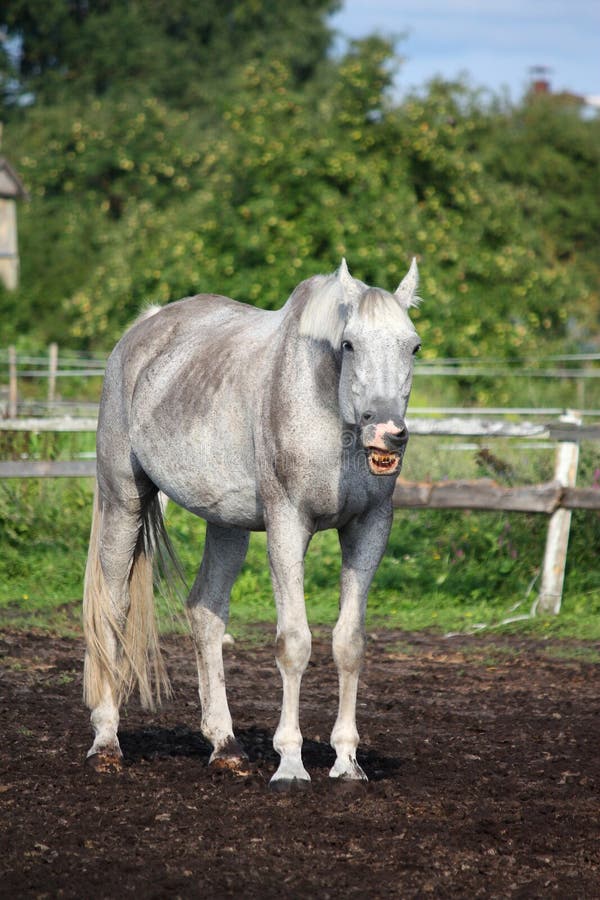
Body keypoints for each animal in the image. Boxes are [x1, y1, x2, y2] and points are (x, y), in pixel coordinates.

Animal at [83, 256, 422, 784]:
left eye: (414, 346)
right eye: (349, 343)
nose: (387, 433)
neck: (326, 411)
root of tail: (143, 329)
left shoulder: (369, 529)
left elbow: (349, 644)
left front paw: (347, 762)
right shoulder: (288, 527)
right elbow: (294, 643)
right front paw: (290, 763)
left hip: (227, 523)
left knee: (205, 613)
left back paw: (225, 745)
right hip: (124, 499)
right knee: (113, 611)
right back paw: (106, 742)